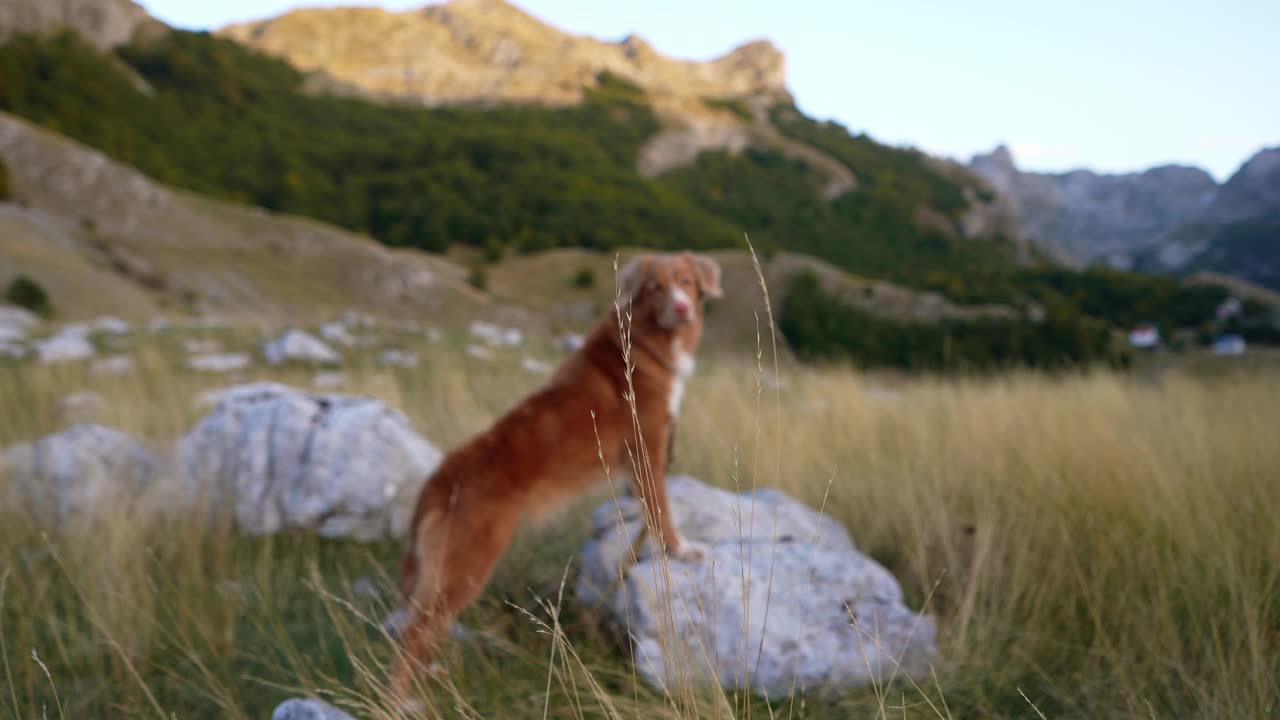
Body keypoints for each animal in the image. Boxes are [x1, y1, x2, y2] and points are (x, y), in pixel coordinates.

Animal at [391, 249, 721, 691]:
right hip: (464, 569)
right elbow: (661, 509)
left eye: (686, 281)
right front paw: (680, 549)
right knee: (411, 641)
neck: (642, 342)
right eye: (656, 288)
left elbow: (639, 503)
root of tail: (437, 483)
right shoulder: (647, 448)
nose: (683, 308)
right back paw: (402, 699)